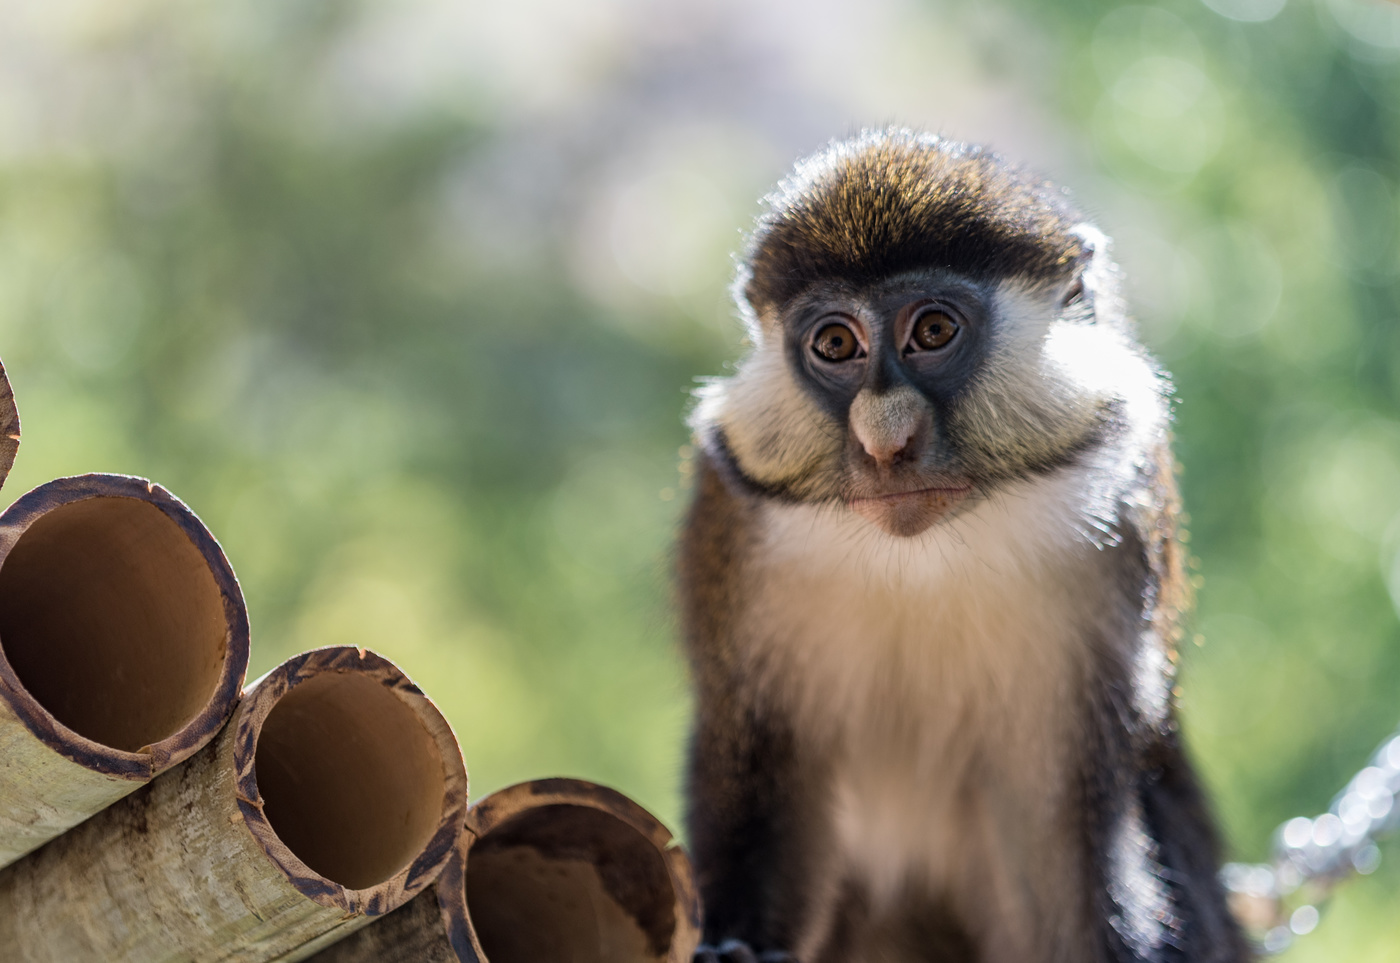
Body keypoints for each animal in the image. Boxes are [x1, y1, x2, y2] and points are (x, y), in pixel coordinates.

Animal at [677, 129, 1250, 963]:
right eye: (836, 343)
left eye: (934, 332)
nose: (885, 442)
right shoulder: (735, 520)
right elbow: (759, 772)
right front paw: (733, 947)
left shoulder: (1118, 528)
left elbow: (1060, 838)